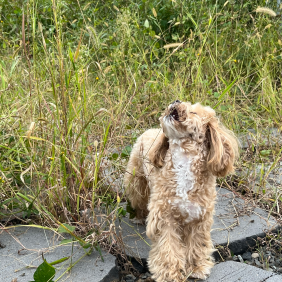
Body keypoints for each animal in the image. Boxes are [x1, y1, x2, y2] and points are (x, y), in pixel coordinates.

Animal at [124, 101, 238, 282]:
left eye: (194, 112)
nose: (176, 101)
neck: (184, 163)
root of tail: (149, 130)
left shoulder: (199, 218)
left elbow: (196, 245)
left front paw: (196, 267)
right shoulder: (165, 218)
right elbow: (168, 249)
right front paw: (170, 274)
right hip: (136, 181)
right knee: (138, 201)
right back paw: (139, 217)